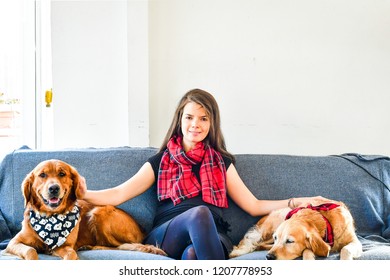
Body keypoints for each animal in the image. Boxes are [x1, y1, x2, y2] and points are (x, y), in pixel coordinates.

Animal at [4, 159, 166, 260]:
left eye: (62, 174)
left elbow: (71, 254)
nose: (54, 188)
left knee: (118, 246)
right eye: (42, 175)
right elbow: (30, 250)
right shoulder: (14, 242)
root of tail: (142, 229)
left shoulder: (66, 246)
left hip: (98, 212)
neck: (50, 217)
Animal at [229, 198, 362, 260]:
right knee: (254, 242)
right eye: (276, 238)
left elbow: (345, 249)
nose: (269, 257)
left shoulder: (355, 242)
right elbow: (306, 251)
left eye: (289, 241)